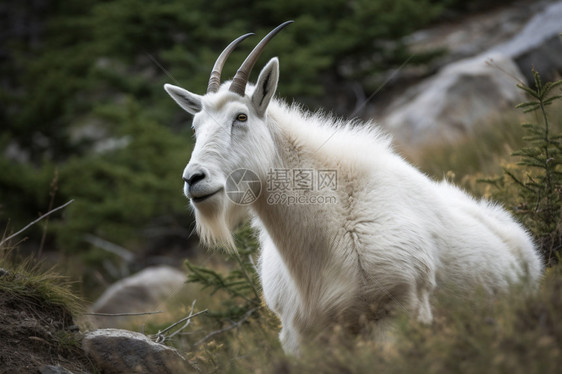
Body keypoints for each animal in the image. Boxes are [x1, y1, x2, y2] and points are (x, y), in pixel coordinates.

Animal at [165, 21, 544, 356]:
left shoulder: (397, 310)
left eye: (240, 117)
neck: (324, 231)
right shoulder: (301, 337)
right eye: (196, 125)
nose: (194, 179)